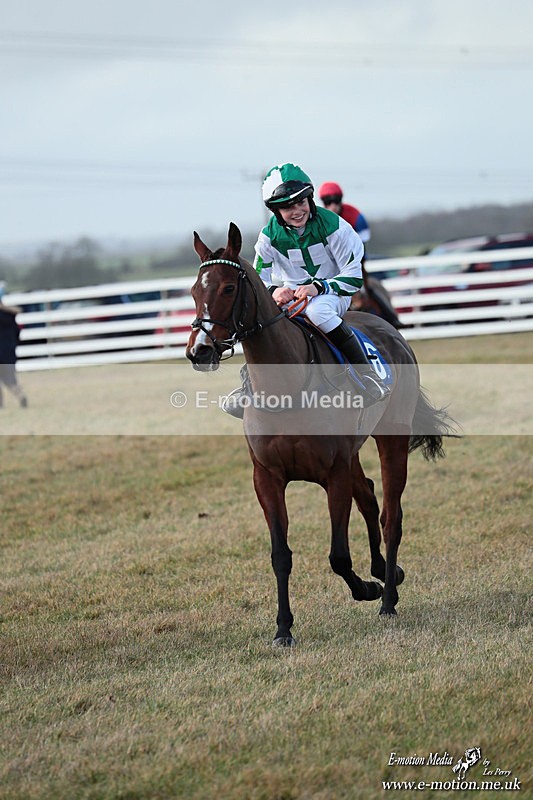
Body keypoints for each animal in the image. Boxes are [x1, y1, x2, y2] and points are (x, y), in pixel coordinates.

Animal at [186, 223, 454, 646]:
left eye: (228, 288)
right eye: (196, 291)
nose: (200, 351)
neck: (287, 388)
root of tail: (390, 331)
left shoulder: (334, 473)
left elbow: (338, 555)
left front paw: (367, 589)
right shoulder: (267, 477)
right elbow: (280, 555)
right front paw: (283, 628)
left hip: (391, 439)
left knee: (390, 515)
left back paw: (388, 598)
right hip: (355, 452)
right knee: (369, 498)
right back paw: (385, 572)